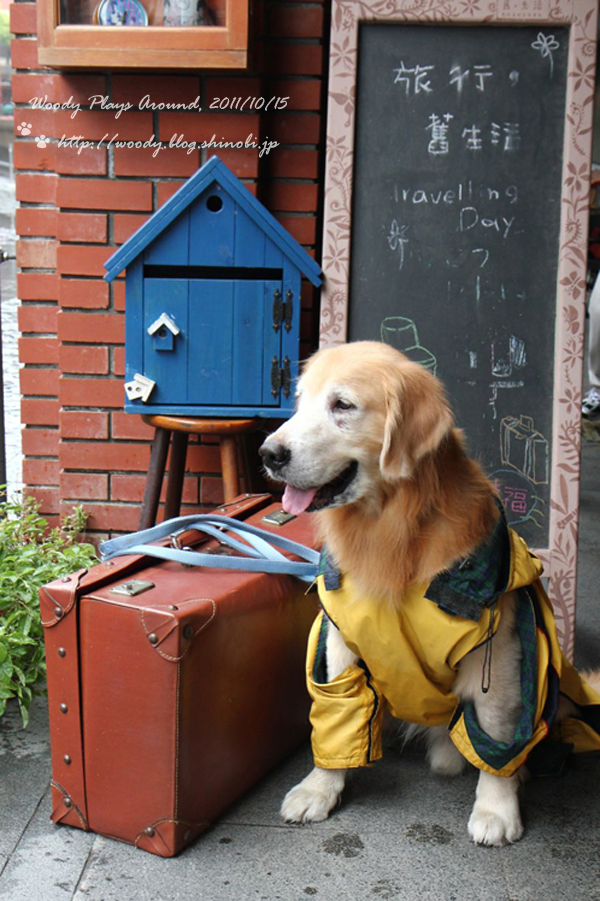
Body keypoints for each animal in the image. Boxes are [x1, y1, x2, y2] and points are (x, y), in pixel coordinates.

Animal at [259, 341, 600, 847]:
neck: (391, 529)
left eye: (342, 405)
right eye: (299, 403)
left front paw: (496, 809)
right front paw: (319, 788)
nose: (268, 453)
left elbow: (495, 737)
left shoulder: (496, 657)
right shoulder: (339, 643)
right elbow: (336, 722)